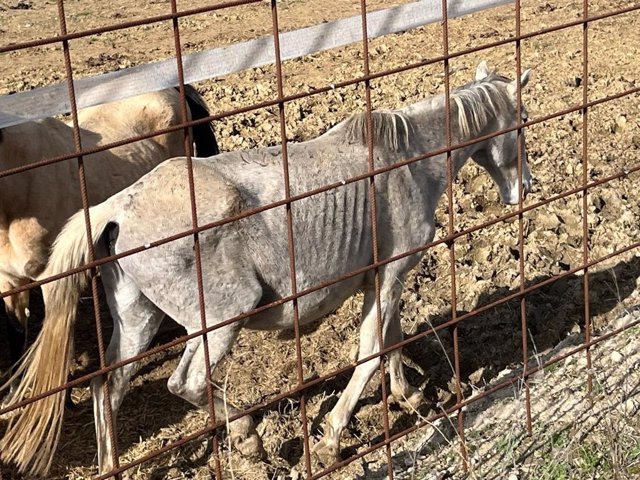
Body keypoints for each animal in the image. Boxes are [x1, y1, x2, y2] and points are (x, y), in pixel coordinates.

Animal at [0, 61, 528, 476]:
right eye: (521, 122)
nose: (523, 189)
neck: (406, 162)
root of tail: (116, 208)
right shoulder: (392, 273)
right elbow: (372, 350)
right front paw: (332, 436)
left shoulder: (386, 277)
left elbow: (391, 340)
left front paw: (408, 397)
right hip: (220, 319)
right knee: (185, 383)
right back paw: (248, 436)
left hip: (137, 320)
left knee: (106, 386)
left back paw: (113, 462)